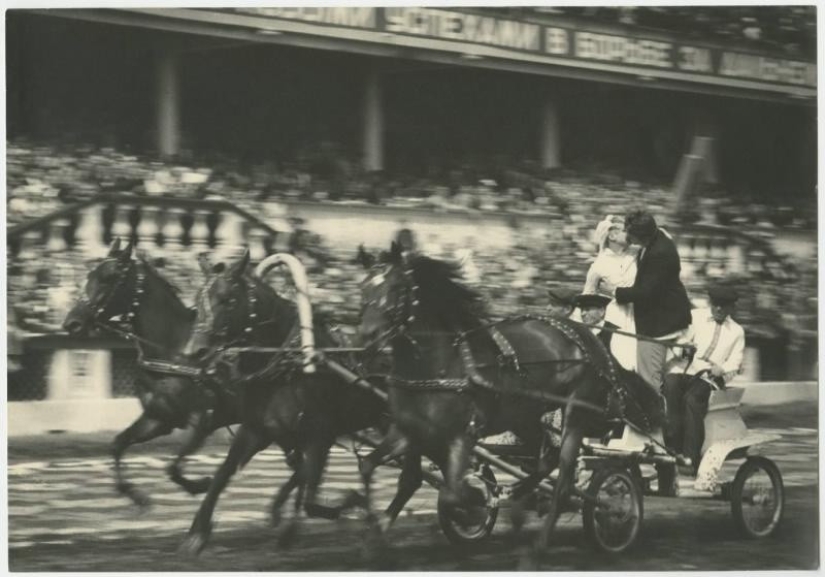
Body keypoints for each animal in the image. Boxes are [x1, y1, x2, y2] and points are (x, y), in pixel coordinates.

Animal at [62, 236, 241, 506]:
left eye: (109, 277)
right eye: (90, 274)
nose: (71, 323)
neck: (174, 352)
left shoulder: (203, 420)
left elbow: (173, 467)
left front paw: (200, 484)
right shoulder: (159, 418)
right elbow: (118, 444)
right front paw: (134, 494)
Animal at [178, 250, 390, 556]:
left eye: (228, 299)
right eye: (198, 297)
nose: (194, 351)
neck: (289, 363)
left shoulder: (320, 433)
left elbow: (311, 493)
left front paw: (352, 503)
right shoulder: (257, 430)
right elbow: (223, 473)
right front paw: (197, 532)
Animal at [358, 241, 668, 564]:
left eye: (397, 288)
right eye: (364, 287)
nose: (366, 337)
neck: (440, 365)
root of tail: (597, 348)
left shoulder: (463, 434)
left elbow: (452, 493)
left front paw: (473, 505)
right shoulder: (411, 431)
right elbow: (382, 470)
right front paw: (373, 538)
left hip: (576, 411)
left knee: (564, 482)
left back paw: (542, 543)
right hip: (525, 415)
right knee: (546, 459)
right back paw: (519, 496)